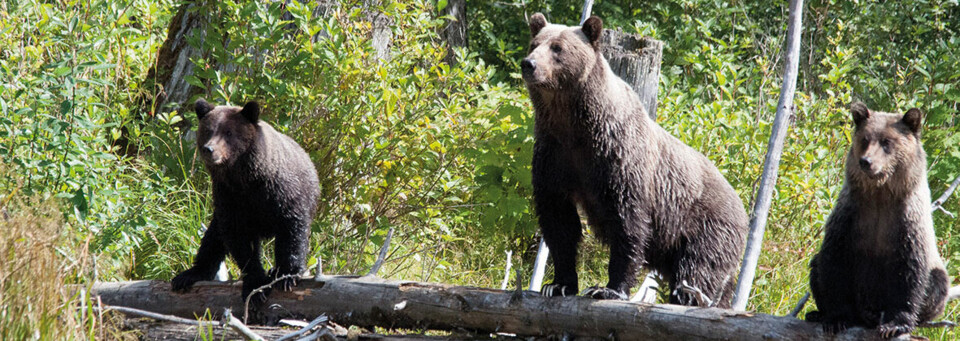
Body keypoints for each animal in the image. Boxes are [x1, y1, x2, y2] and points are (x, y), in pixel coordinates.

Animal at [171, 99, 320, 302]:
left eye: (228, 132)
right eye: (208, 130)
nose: (209, 149)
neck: (245, 178)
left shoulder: (282, 193)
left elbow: (292, 229)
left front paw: (286, 276)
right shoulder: (229, 198)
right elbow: (239, 240)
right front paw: (256, 284)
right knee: (212, 239)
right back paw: (190, 274)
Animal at [516, 13, 752, 306]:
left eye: (557, 48)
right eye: (535, 43)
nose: (529, 64)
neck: (575, 126)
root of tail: (742, 207)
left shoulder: (620, 159)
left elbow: (627, 223)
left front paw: (608, 288)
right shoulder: (554, 155)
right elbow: (559, 222)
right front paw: (558, 284)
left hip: (707, 227)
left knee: (698, 271)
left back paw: (688, 298)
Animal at [808, 102, 948, 336]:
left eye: (886, 142)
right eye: (865, 139)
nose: (866, 161)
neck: (880, 195)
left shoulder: (908, 221)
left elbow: (909, 272)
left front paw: (895, 324)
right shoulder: (850, 215)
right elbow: (832, 263)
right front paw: (836, 318)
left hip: (936, 273)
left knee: (938, 283)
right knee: (816, 264)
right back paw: (817, 314)